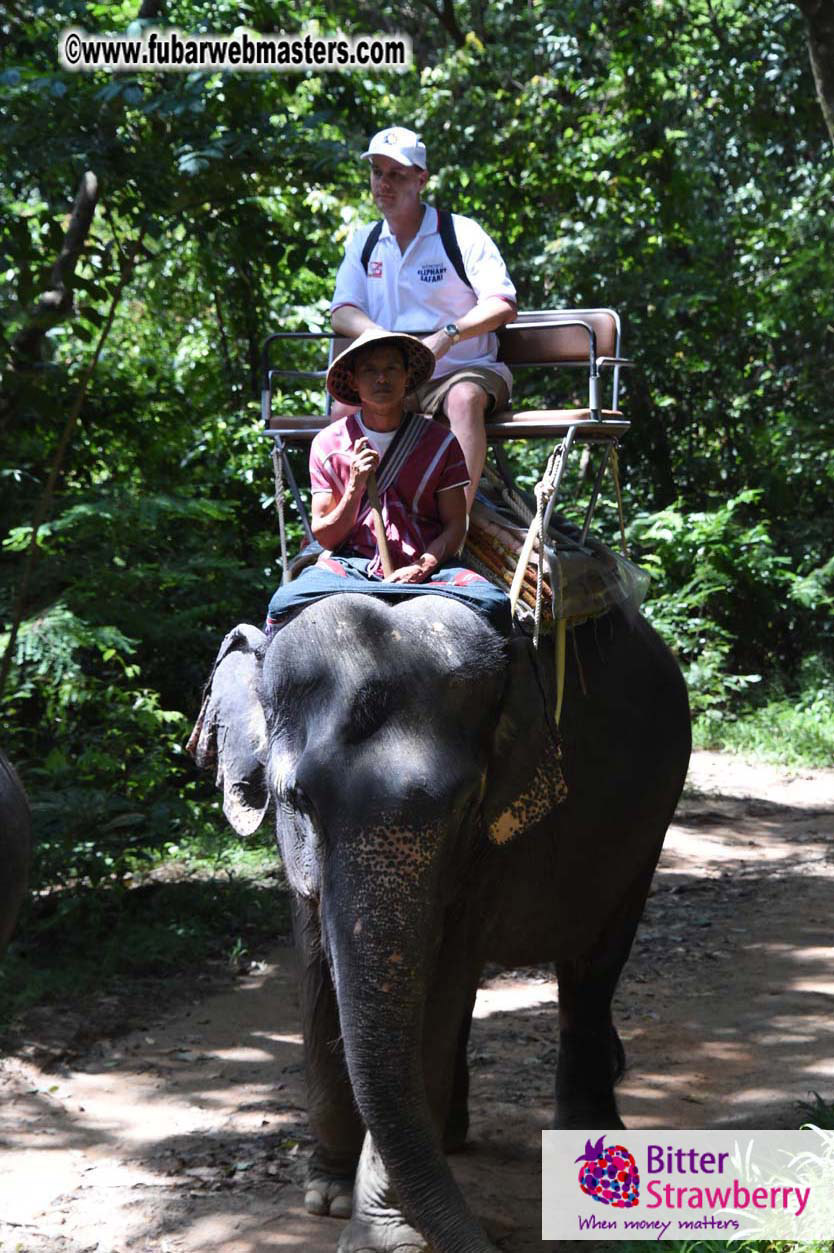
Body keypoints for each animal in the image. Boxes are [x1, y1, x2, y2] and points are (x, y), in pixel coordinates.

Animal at [191, 590, 691, 1252]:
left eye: (466, 807)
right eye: (299, 801)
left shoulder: (493, 844)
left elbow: (439, 986)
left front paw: (385, 1236)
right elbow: (318, 972)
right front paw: (327, 1196)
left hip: (649, 826)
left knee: (592, 965)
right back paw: (450, 1141)